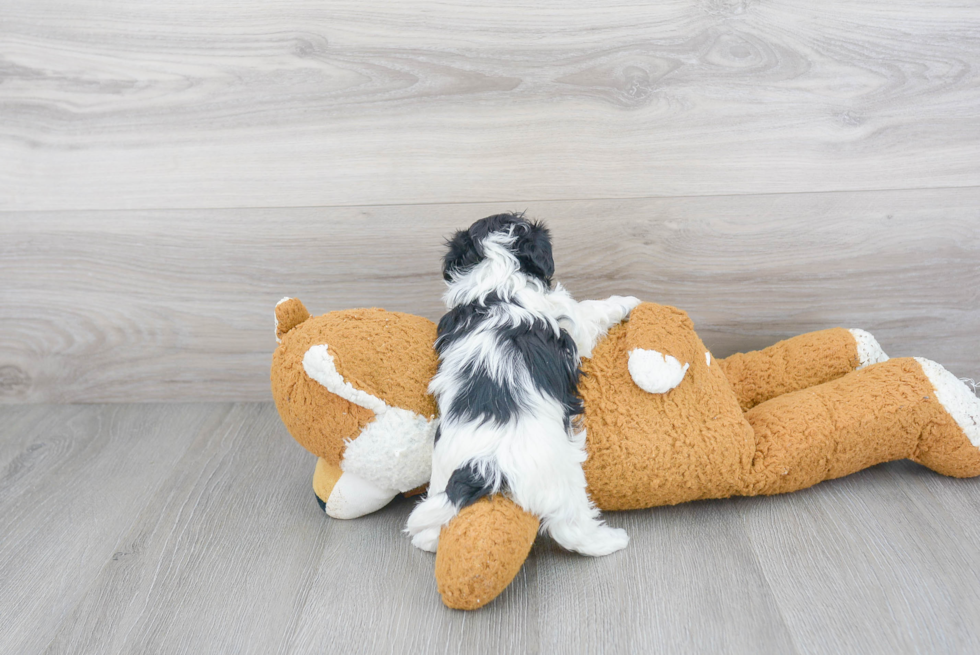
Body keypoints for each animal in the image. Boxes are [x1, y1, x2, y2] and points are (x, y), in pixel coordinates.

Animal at [402, 214, 640, 560]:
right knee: (570, 528)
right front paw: (626, 302)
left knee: (431, 529)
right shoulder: (570, 319)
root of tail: (483, 467)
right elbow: (590, 310)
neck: (497, 287)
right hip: (561, 478)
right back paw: (611, 540)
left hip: (441, 488)